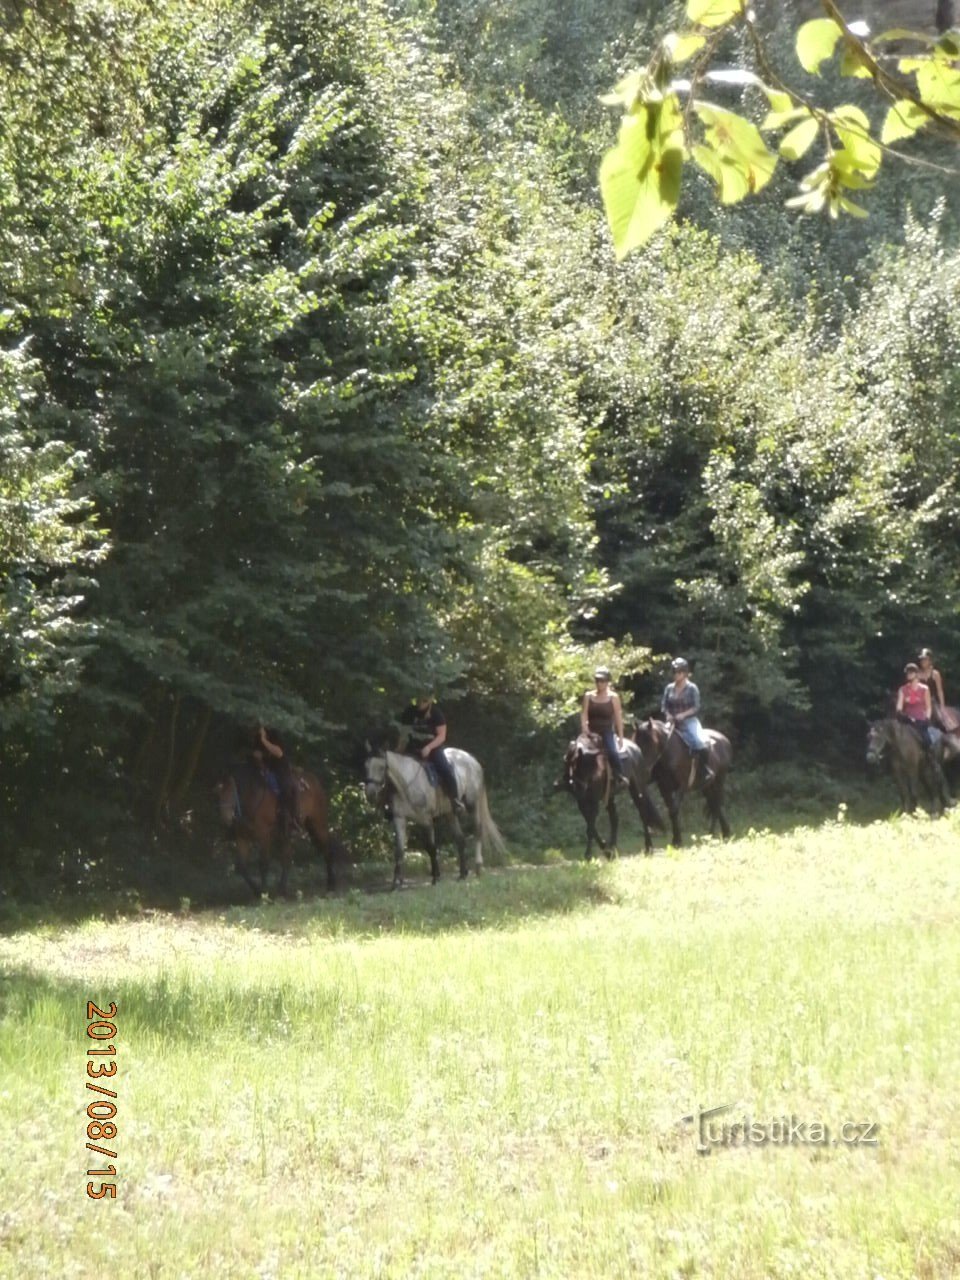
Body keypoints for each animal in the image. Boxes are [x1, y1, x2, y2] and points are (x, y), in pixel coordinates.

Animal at [216, 762, 335, 896]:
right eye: (218, 793)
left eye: (231, 792)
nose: (225, 818)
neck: (252, 798)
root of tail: (314, 781)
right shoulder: (242, 837)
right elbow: (242, 867)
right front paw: (256, 890)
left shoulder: (263, 835)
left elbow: (263, 863)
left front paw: (263, 892)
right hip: (287, 835)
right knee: (287, 858)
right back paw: (282, 889)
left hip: (319, 825)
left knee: (327, 850)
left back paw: (331, 884)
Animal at [560, 732, 665, 860]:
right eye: (572, 764)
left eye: (589, 766)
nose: (580, 788)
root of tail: (636, 748)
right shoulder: (582, 803)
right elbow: (591, 826)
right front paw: (605, 848)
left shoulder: (594, 801)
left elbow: (590, 828)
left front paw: (588, 855)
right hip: (610, 796)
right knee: (615, 819)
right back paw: (612, 849)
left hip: (638, 790)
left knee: (643, 814)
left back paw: (648, 848)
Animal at [634, 721, 732, 849]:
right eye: (636, 743)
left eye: (651, 743)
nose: (643, 771)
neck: (670, 752)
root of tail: (724, 739)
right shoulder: (664, 788)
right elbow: (671, 811)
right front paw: (676, 840)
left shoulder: (682, 786)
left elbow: (674, 810)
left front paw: (677, 840)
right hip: (707, 787)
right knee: (716, 805)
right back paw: (723, 834)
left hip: (719, 781)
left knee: (716, 805)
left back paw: (712, 834)